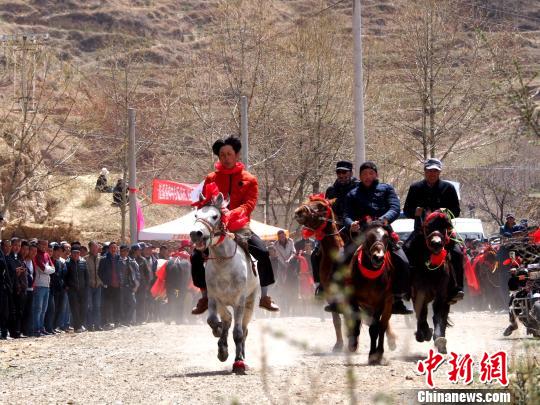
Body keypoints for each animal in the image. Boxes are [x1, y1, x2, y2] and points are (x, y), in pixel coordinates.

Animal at [188, 193, 260, 372]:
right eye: (196, 215)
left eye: (215, 216)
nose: (195, 234)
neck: (224, 263)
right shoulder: (214, 298)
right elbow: (213, 321)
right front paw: (221, 346)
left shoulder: (239, 301)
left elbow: (238, 333)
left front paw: (238, 362)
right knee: (227, 319)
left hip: (250, 302)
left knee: (244, 329)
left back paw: (242, 355)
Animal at [346, 219, 396, 364]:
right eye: (368, 237)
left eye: (386, 236)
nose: (378, 257)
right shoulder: (353, 299)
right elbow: (355, 320)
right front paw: (352, 344)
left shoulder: (379, 303)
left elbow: (375, 328)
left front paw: (373, 355)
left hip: (387, 304)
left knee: (382, 326)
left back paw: (380, 351)